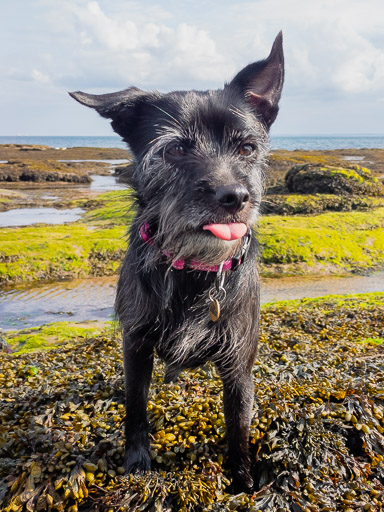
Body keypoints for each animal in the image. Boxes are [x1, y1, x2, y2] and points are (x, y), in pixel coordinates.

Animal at [70, 31, 284, 492]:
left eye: (247, 147)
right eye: (176, 149)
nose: (234, 197)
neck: (193, 271)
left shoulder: (238, 366)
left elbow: (238, 427)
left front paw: (242, 482)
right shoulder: (135, 345)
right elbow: (135, 408)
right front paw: (137, 464)